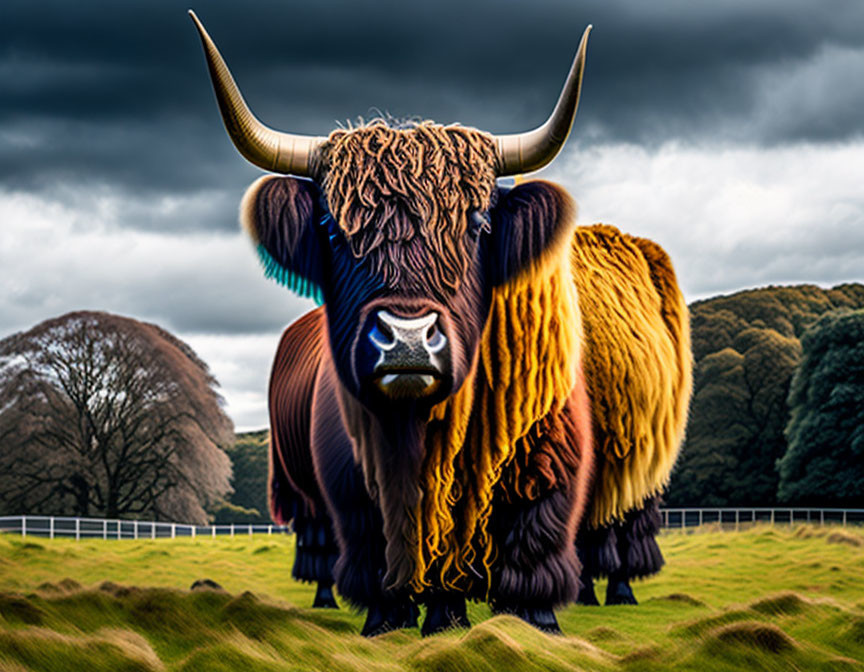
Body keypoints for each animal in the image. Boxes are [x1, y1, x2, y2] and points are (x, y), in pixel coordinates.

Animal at [192, 13, 692, 636]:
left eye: (477, 224)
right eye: (333, 228)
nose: (407, 341)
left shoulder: (548, 469)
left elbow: (532, 550)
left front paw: (534, 626)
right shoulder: (350, 484)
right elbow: (379, 556)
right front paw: (398, 623)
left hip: (640, 470)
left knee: (622, 533)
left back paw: (616, 592)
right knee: (320, 545)